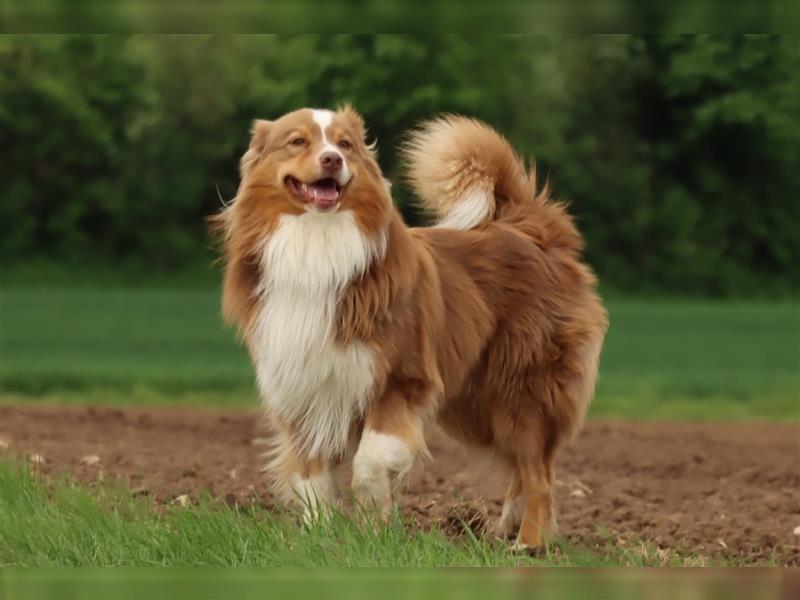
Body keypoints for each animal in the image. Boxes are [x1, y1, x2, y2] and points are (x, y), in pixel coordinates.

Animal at [212, 106, 608, 548]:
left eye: (345, 144)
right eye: (297, 141)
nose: (333, 160)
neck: (317, 242)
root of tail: (531, 228)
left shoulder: (400, 379)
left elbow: (368, 462)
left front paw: (374, 528)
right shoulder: (304, 390)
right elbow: (312, 477)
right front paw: (321, 538)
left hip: (521, 390)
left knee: (539, 471)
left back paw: (530, 543)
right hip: (476, 404)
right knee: (522, 467)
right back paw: (506, 527)